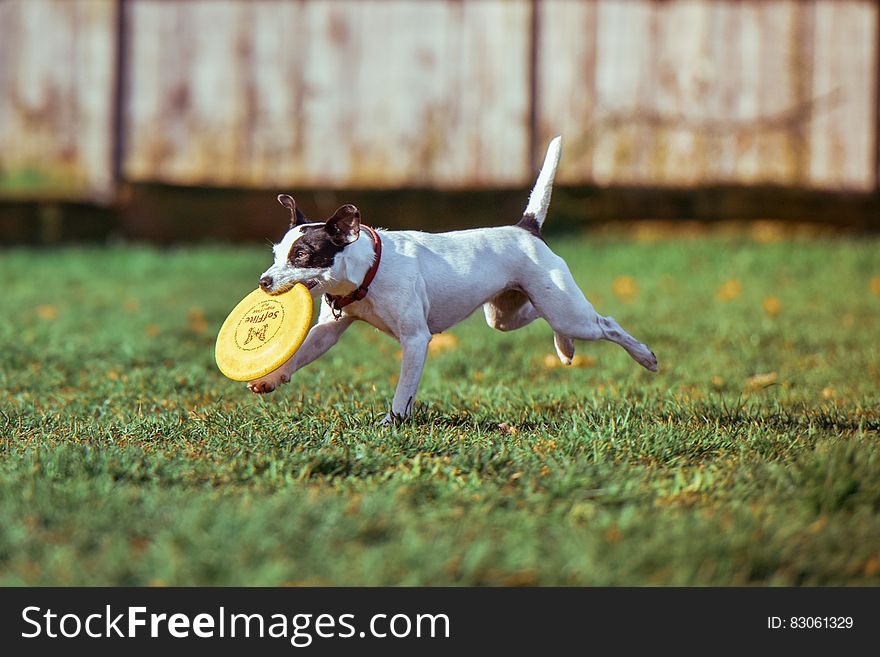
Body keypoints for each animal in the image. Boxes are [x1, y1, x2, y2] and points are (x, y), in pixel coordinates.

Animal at [246, 139, 652, 426]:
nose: (264, 281)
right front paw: (272, 378)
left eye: (302, 255)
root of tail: (526, 228)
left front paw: (392, 422)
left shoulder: (415, 340)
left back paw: (644, 356)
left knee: (606, 324)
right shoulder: (327, 331)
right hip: (506, 315)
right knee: (543, 318)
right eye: (276, 253)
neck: (368, 271)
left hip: (568, 312)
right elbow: (301, 353)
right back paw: (564, 348)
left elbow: (404, 389)